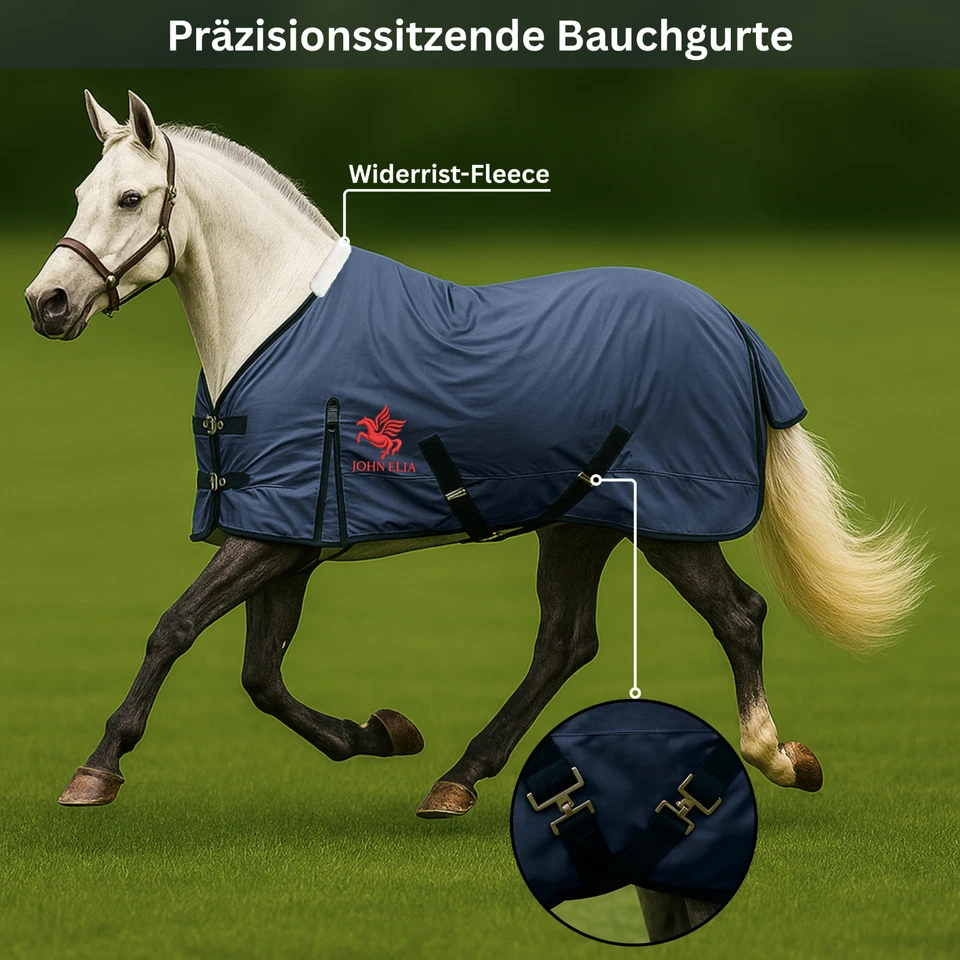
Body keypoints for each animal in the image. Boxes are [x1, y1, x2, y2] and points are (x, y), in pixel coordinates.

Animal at [25, 93, 926, 838]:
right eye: (79, 195)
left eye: (131, 199)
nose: (46, 304)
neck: (275, 325)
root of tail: (732, 324)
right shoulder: (283, 535)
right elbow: (261, 677)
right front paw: (381, 733)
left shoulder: (274, 534)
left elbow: (174, 630)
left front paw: (95, 772)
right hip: (579, 523)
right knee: (565, 642)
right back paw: (456, 779)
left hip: (667, 523)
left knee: (736, 615)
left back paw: (777, 758)